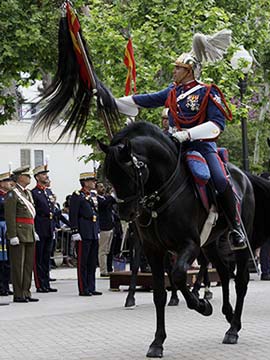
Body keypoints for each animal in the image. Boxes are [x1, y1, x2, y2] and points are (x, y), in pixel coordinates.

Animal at [99, 121, 270, 358]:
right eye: (109, 174)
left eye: (131, 171)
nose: (125, 213)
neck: (161, 194)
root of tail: (242, 174)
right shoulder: (153, 250)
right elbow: (159, 294)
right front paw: (157, 342)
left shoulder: (189, 244)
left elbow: (179, 275)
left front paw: (201, 305)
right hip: (210, 244)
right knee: (224, 272)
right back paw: (228, 313)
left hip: (240, 244)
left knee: (241, 281)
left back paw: (233, 328)